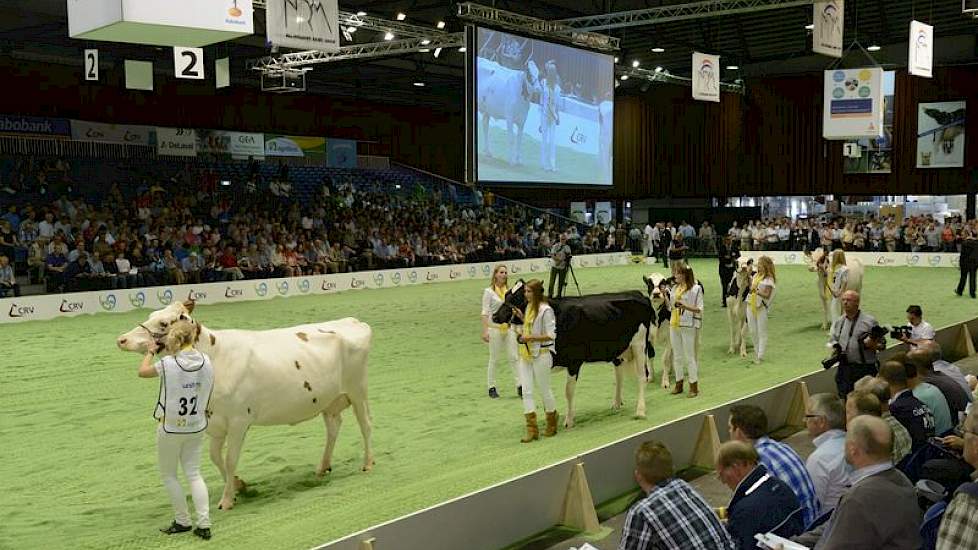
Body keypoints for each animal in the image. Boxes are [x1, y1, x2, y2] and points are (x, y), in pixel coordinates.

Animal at [115, 302, 374, 512]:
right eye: (151, 315)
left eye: (163, 322)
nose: (122, 339)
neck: (214, 357)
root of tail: (352, 320)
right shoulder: (215, 422)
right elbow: (215, 457)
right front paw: (239, 485)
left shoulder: (239, 420)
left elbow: (230, 459)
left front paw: (227, 499)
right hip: (329, 400)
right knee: (333, 427)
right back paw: (323, 467)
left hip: (358, 389)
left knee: (366, 424)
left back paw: (368, 463)